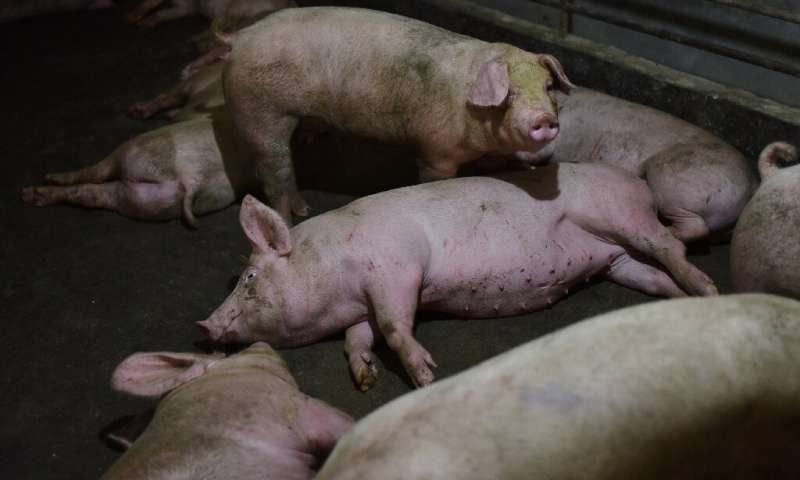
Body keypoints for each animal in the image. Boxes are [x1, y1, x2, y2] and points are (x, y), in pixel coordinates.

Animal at [21, 110, 255, 228]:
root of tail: (192, 174)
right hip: (148, 200)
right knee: (92, 188)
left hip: (131, 160)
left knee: (92, 178)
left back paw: (33, 190)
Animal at [198, 163, 717, 390]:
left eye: (249, 277)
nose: (205, 325)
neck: (336, 278)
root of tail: (640, 182)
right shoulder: (363, 303)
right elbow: (357, 337)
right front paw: (365, 379)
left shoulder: (396, 269)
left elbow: (395, 326)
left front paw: (426, 375)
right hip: (617, 261)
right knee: (655, 273)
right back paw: (684, 299)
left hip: (621, 216)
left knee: (670, 245)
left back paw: (707, 288)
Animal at [222, 6, 574, 222]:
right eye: (510, 93)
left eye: (548, 87)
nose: (544, 119)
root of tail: (239, 37)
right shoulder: (435, 150)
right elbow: (433, 177)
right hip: (260, 113)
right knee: (275, 175)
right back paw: (290, 219)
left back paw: (303, 209)